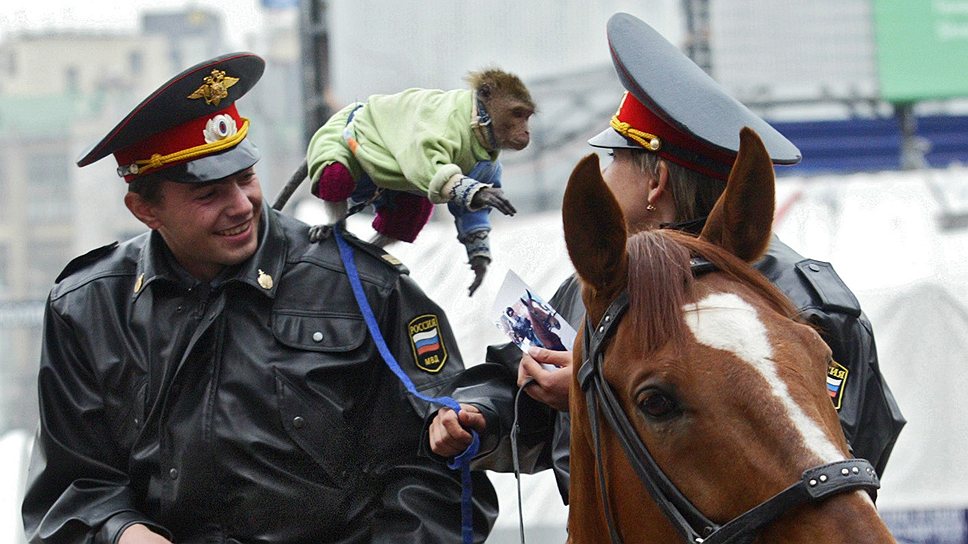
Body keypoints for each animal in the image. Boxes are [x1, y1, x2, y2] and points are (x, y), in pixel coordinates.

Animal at [306, 70, 536, 298]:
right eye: (517, 113)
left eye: (526, 116)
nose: (527, 132)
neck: (476, 121)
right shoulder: (446, 127)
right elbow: (424, 161)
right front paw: (484, 194)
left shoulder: (489, 161)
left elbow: (467, 209)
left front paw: (479, 260)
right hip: (334, 136)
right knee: (336, 173)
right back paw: (335, 226)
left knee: (407, 216)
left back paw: (370, 245)